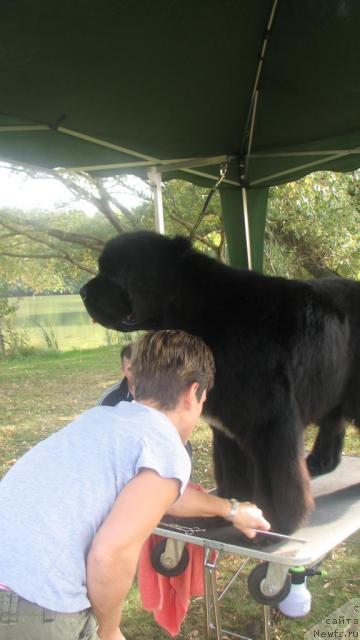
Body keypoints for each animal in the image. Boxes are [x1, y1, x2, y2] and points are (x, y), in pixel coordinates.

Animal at [80, 232, 358, 532]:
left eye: (114, 272)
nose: (82, 292)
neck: (202, 311)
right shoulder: (226, 428)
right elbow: (233, 472)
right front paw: (231, 510)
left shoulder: (269, 424)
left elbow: (277, 481)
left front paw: (277, 525)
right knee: (333, 422)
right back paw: (321, 463)